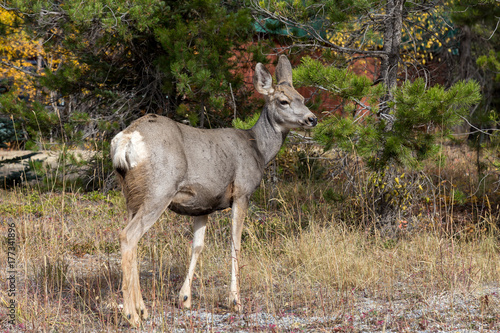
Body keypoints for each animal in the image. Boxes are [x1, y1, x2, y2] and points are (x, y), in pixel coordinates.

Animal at [111, 55, 318, 324]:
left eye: (302, 97)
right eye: (283, 101)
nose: (312, 118)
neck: (258, 150)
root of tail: (126, 140)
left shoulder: (202, 205)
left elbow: (197, 246)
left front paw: (185, 299)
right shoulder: (242, 192)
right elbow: (235, 243)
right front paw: (235, 301)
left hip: (131, 195)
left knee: (133, 240)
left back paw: (142, 309)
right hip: (159, 189)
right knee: (128, 236)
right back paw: (132, 315)